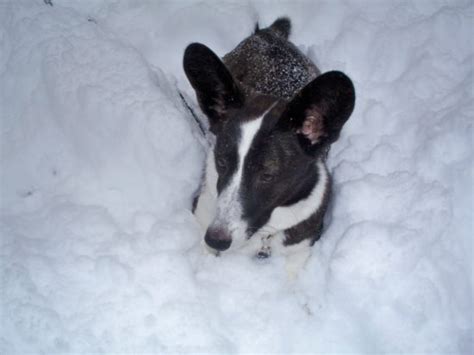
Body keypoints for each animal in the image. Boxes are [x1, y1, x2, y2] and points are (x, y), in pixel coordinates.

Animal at [183, 17, 354, 262]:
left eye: (267, 175)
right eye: (222, 162)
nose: (215, 240)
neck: (264, 235)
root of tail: (269, 33)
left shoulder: (299, 251)